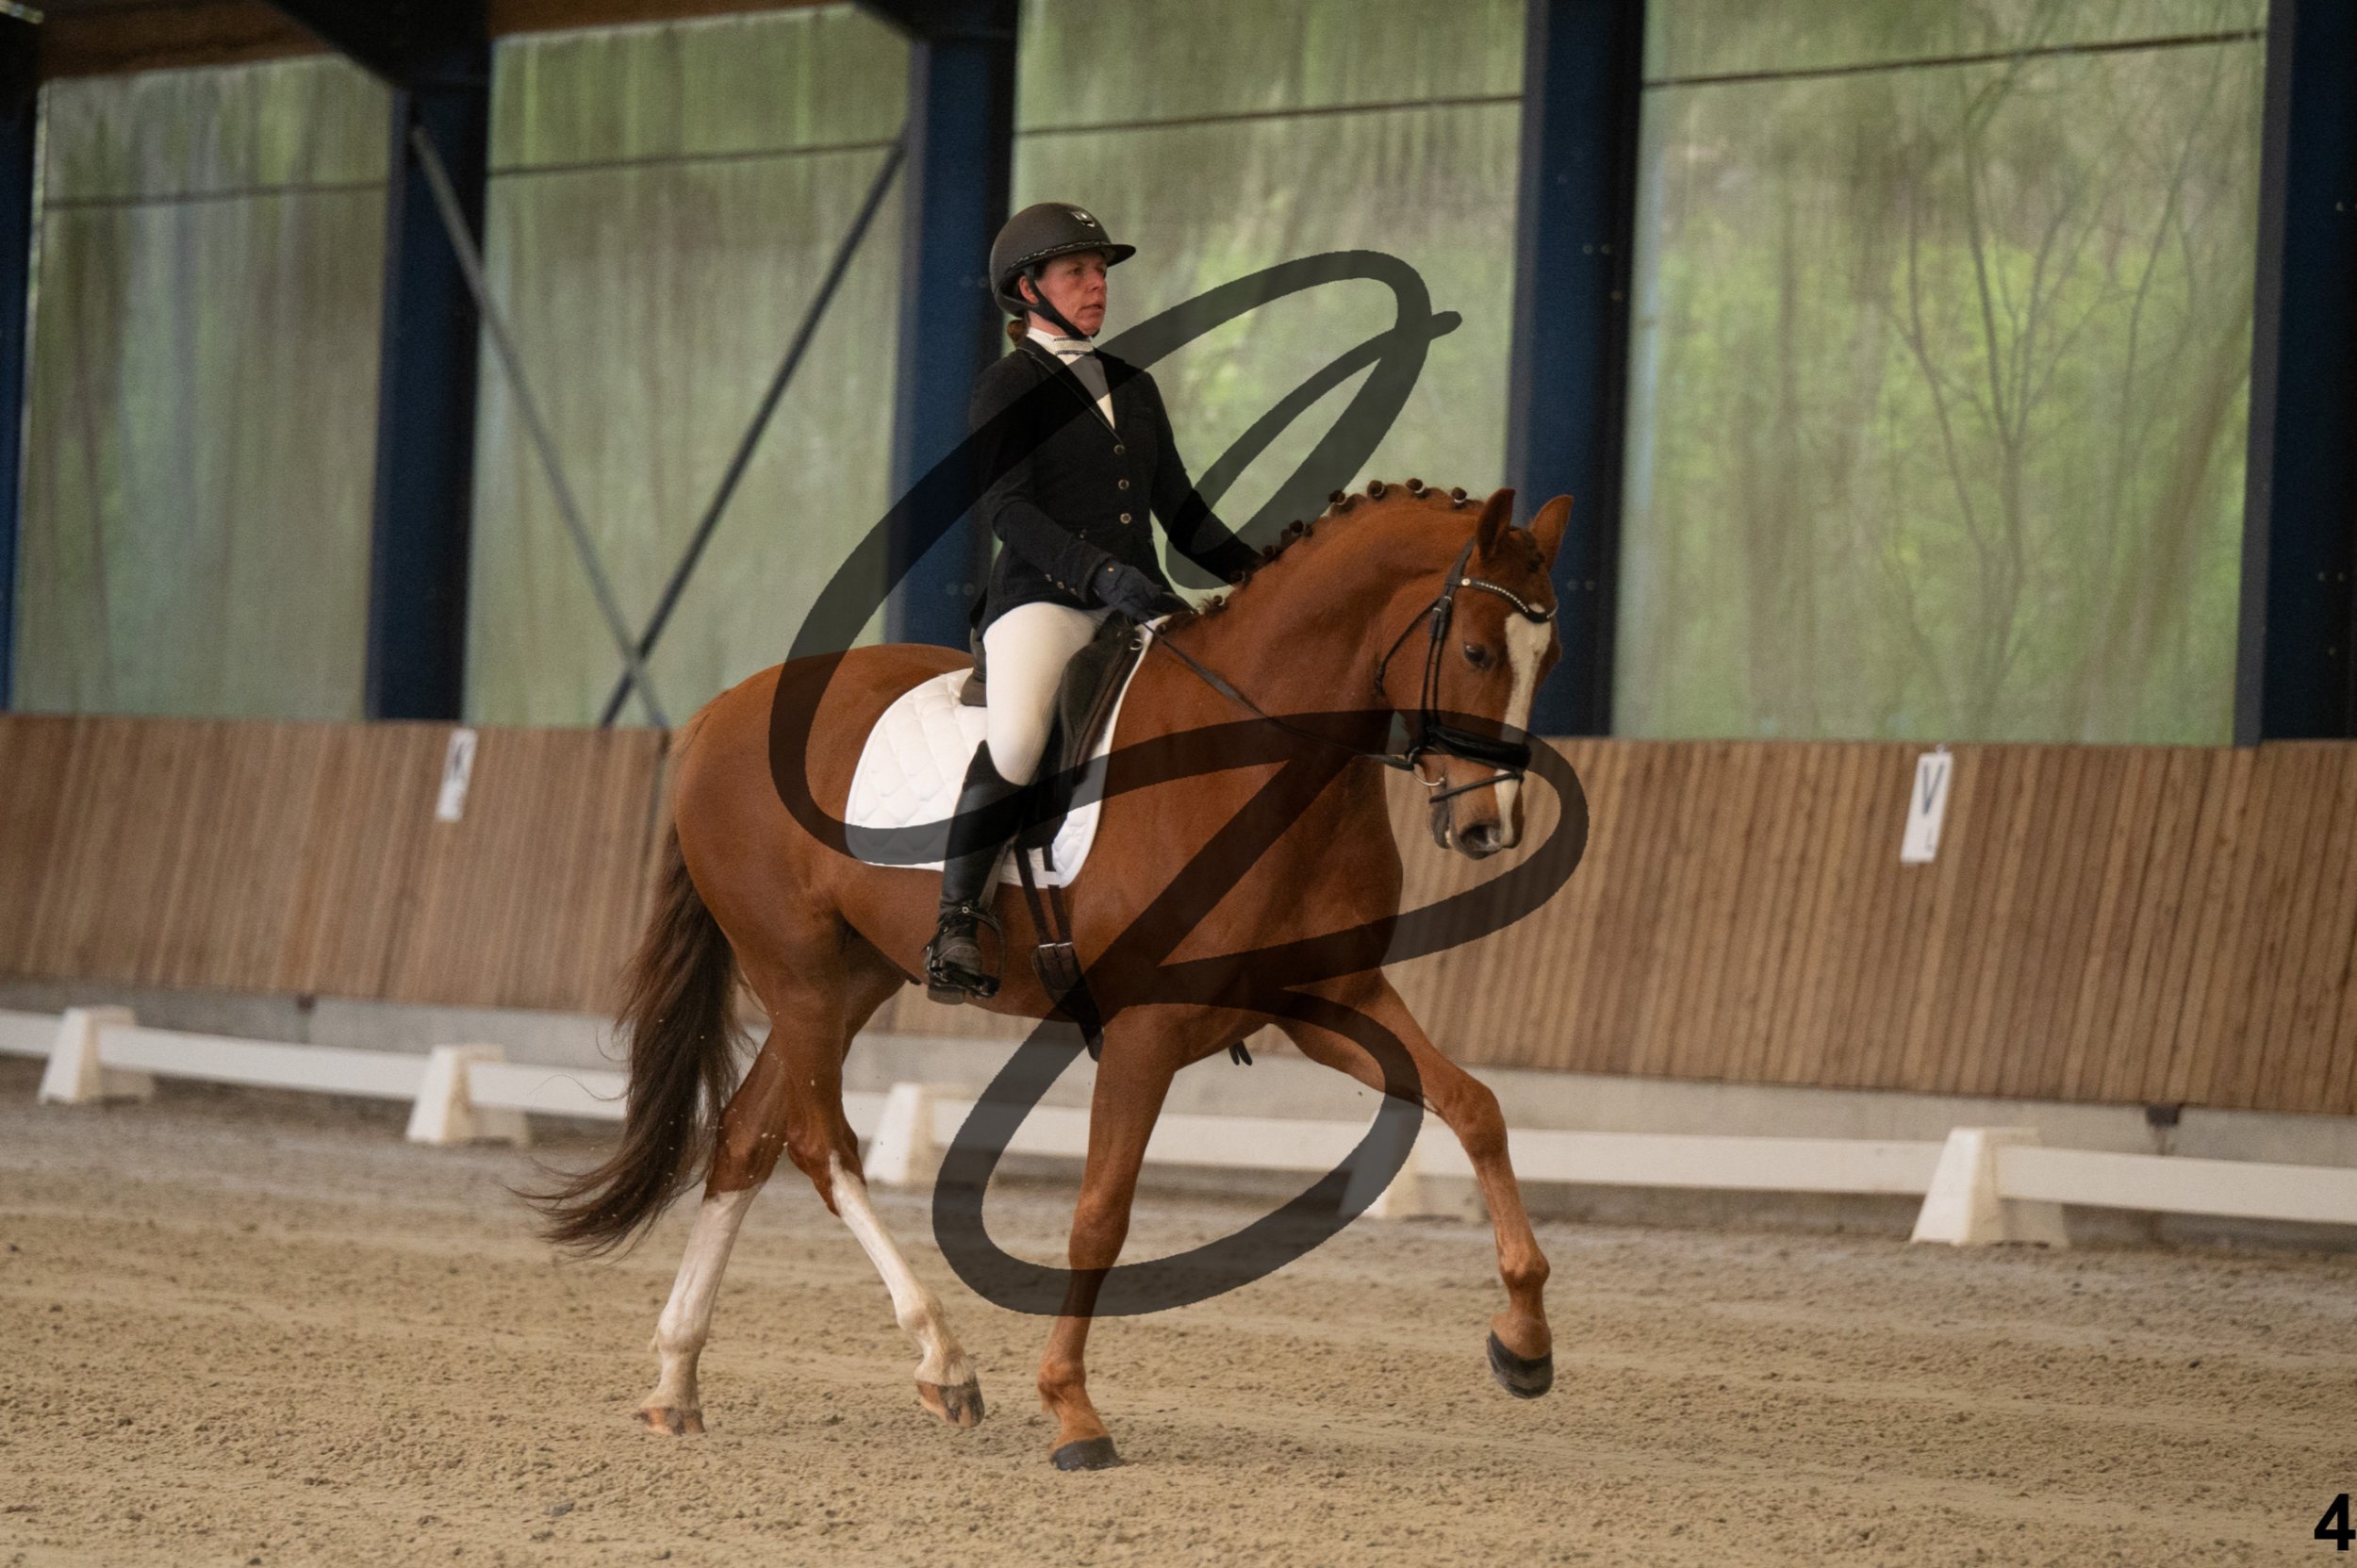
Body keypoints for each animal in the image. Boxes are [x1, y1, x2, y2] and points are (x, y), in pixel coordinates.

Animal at [533, 478, 1576, 1470]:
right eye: (1477, 651)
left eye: (1550, 658)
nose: (1488, 828)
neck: (1263, 752)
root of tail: (721, 712)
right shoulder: (1149, 1027)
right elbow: (1099, 1215)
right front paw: (1073, 1412)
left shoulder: (1329, 1001)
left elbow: (1475, 1107)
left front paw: (1524, 1342)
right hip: (795, 970)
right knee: (820, 1142)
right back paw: (943, 1360)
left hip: (853, 976)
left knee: (747, 1135)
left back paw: (676, 1378)